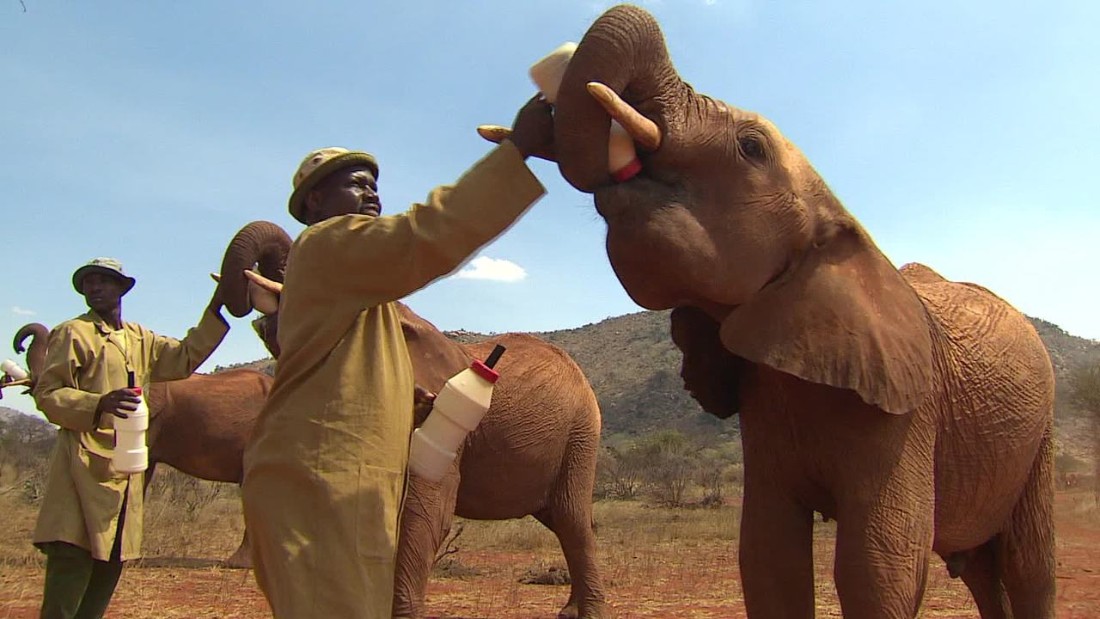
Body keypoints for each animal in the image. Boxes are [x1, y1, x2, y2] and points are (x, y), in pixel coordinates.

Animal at [490, 4, 1056, 619]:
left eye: (752, 148)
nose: (541, 109)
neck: (841, 225)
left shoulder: (907, 413)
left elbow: (878, 567)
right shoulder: (763, 398)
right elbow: (767, 553)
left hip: (1040, 437)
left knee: (1029, 566)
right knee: (981, 569)